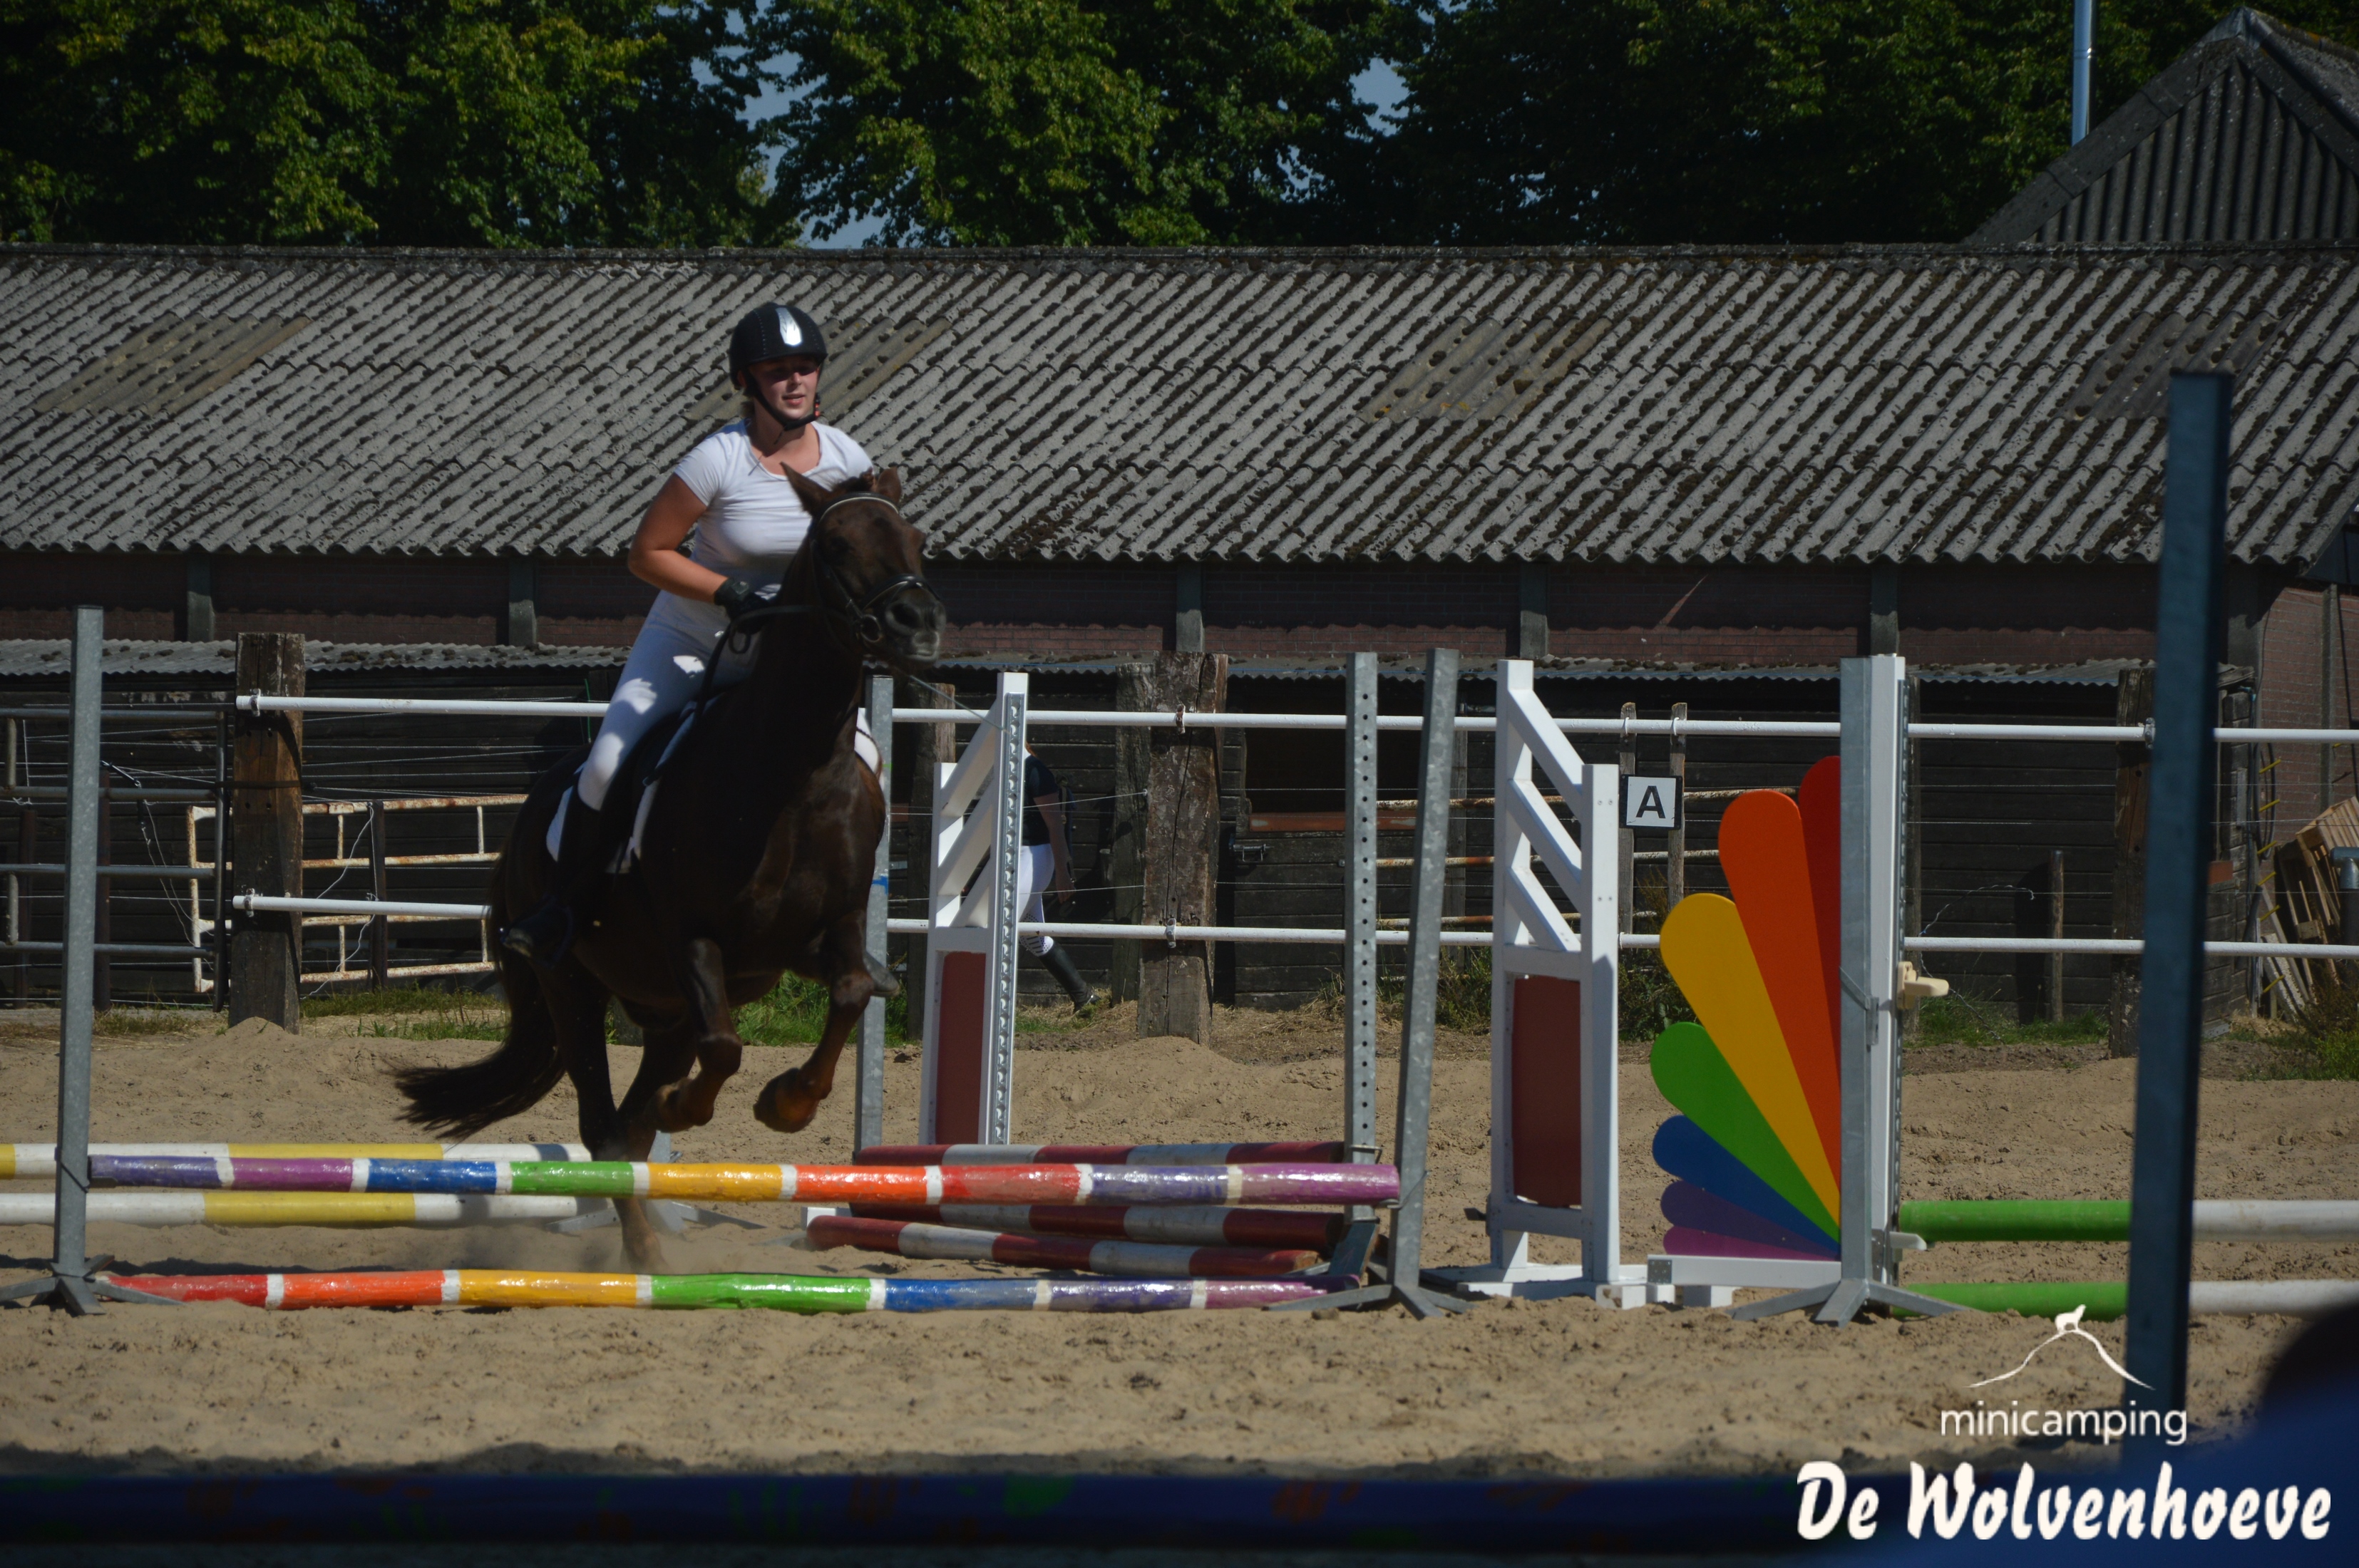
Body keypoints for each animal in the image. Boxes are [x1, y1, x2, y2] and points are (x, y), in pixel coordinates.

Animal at [395, 467, 943, 1270]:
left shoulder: (825, 934)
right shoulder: (693, 938)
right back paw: (645, 1255)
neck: (793, 770)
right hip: (574, 986)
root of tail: (529, 814)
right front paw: (694, 1105)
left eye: (916, 538)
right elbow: (725, 1048)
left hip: (666, 1012)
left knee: (633, 1123)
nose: (917, 623)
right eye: (837, 543)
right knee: (606, 1129)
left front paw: (786, 1102)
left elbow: (846, 994)